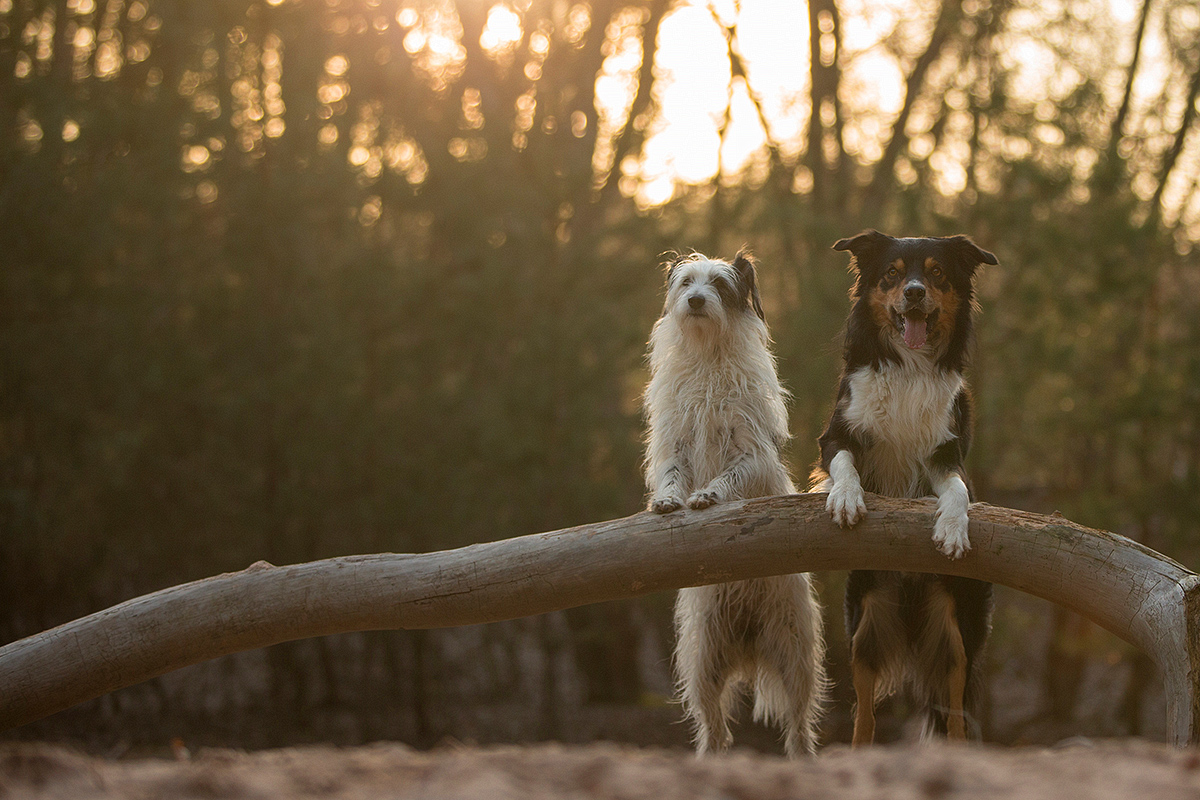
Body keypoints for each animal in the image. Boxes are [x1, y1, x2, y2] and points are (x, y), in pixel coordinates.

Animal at [811, 230, 998, 743]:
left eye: (936, 273)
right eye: (892, 274)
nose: (914, 293)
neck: (909, 365)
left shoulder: (946, 455)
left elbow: (957, 491)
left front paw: (952, 529)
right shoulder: (835, 436)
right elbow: (845, 466)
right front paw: (847, 499)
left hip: (958, 638)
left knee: (955, 717)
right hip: (864, 629)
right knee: (865, 717)